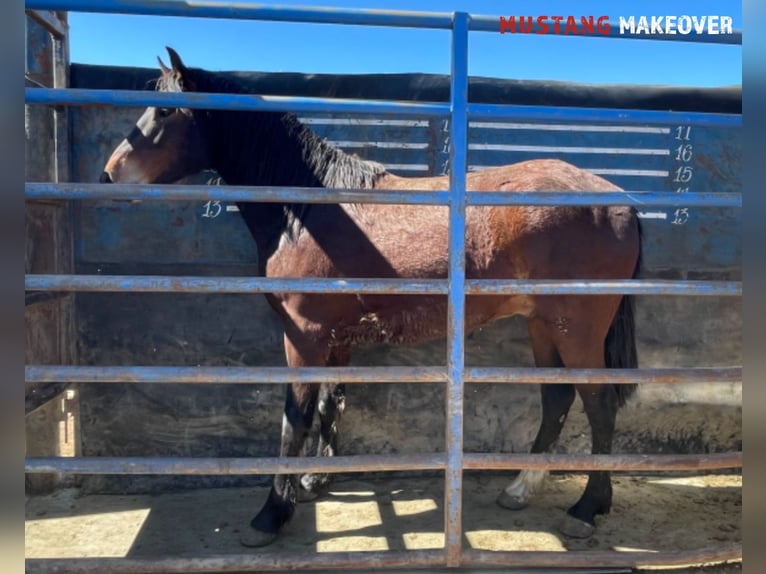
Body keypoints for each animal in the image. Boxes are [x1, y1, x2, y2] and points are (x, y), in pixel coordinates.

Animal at [102, 48, 640, 548]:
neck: (308, 211)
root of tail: (618, 200)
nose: (109, 175)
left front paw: (272, 513)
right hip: (541, 323)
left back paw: (587, 508)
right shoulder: (336, 340)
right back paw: (522, 489)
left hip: (575, 329)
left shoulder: (303, 338)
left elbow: (294, 419)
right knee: (557, 398)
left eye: (165, 111)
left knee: (599, 405)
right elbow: (328, 406)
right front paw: (314, 481)